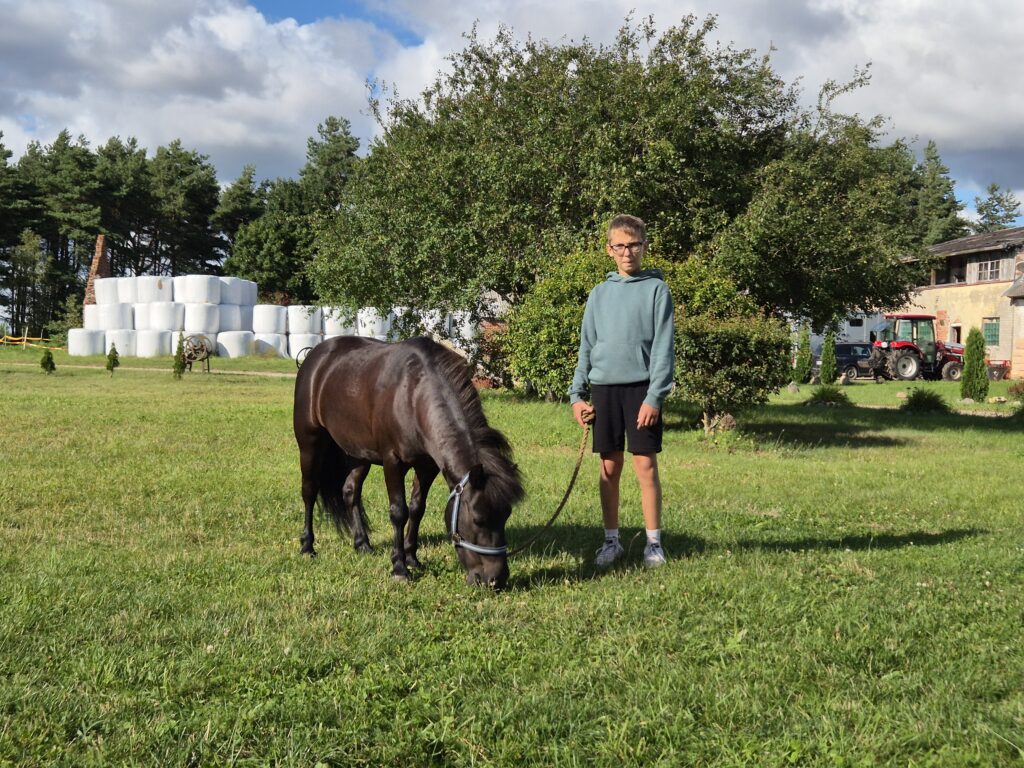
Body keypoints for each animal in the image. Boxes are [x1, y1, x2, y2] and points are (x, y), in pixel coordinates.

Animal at [293, 335, 524, 588]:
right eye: (478, 519)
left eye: (506, 516)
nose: (496, 580)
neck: (413, 395)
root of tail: (315, 355)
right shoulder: (393, 462)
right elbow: (399, 512)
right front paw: (399, 568)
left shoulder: (427, 466)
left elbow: (417, 509)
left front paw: (412, 558)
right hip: (310, 443)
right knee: (309, 492)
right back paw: (307, 547)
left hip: (359, 454)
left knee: (350, 491)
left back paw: (362, 544)